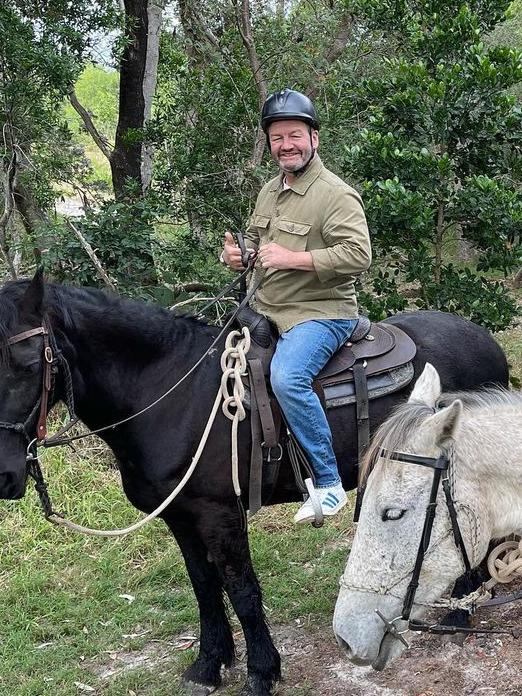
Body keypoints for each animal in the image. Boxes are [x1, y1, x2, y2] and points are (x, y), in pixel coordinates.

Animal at [0, 272, 506, 696]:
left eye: (26, 366)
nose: (6, 476)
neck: (168, 393)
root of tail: (483, 337)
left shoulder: (219, 513)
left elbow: (241, 590)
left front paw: (262, 671)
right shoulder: (180, 516)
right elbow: (205, 587)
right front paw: (208, 665)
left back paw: (463, 609)